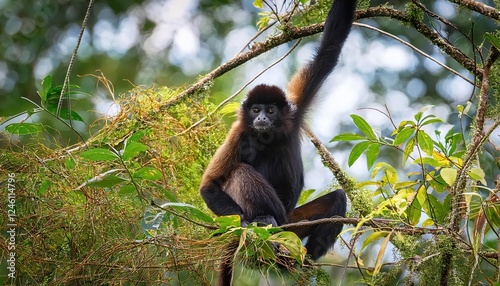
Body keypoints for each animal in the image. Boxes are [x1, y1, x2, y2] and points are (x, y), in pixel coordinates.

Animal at [199, 0, 356, 284]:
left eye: (271, 110)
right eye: (256, 110)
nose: (261, 117)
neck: (267, 137)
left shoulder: (293, 112)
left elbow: (329, 51)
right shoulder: (239, 132)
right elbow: (209, 186)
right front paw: (243, 225)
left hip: (293, 222)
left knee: (338, 198)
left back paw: (300, 260)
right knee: (241, 172)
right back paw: (264, 222)